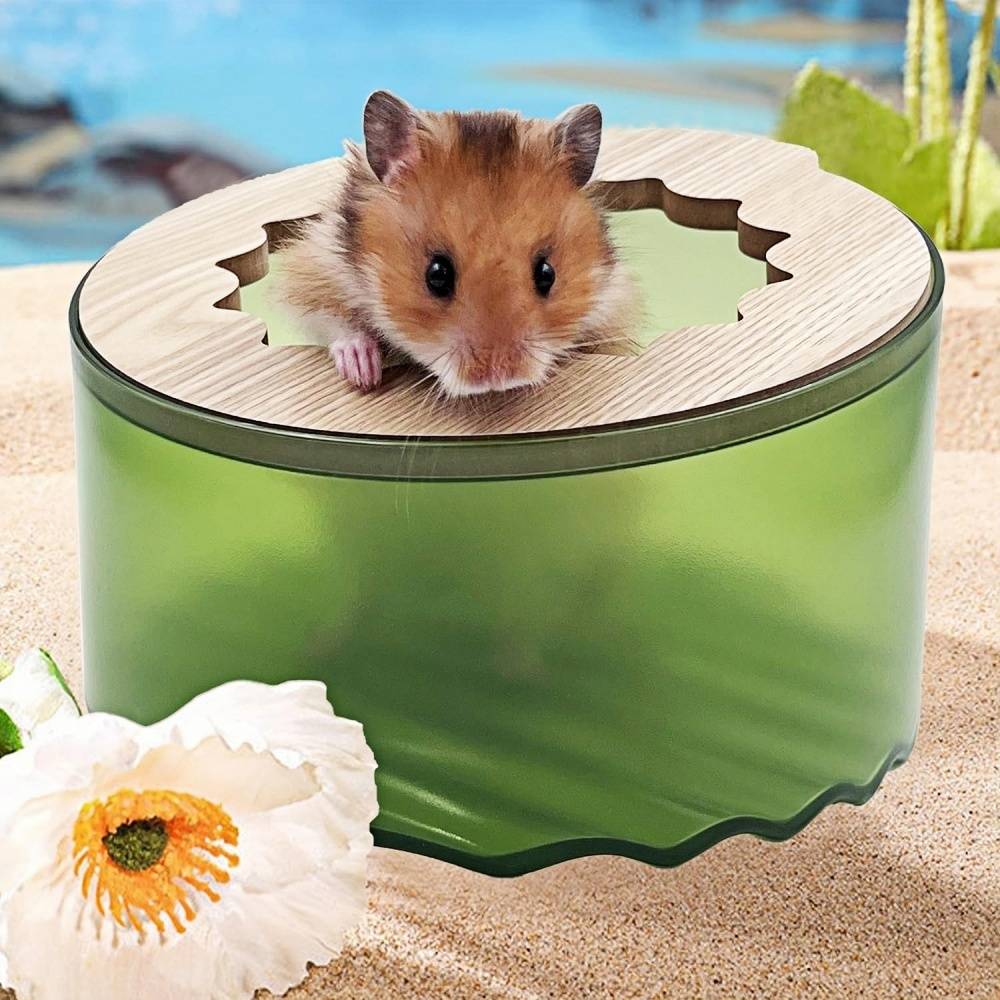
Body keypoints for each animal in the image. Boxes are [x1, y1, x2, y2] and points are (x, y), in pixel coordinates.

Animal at [277, 91, 635, 397]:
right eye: (436, 275)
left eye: (547, 274)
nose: (499, 378)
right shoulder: (316, 269)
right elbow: (331, 318)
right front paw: (364, 375)